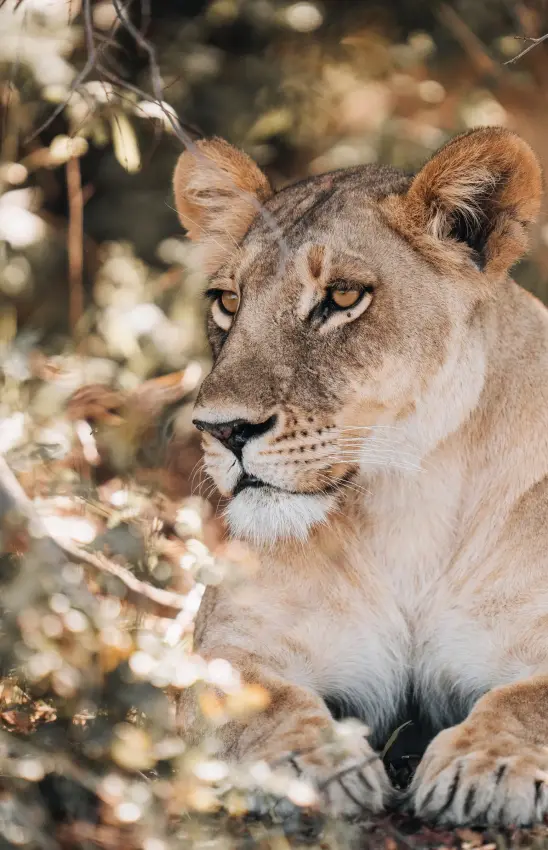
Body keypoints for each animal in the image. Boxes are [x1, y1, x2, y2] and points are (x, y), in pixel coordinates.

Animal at [172, 126, 548, 827]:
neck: (411, 495)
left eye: (342, 298)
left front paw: (486, 766)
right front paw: (310, 767)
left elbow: (525, 699)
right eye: (228, 301)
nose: (222, 430)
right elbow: (262, 705)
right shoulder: (234, 645)